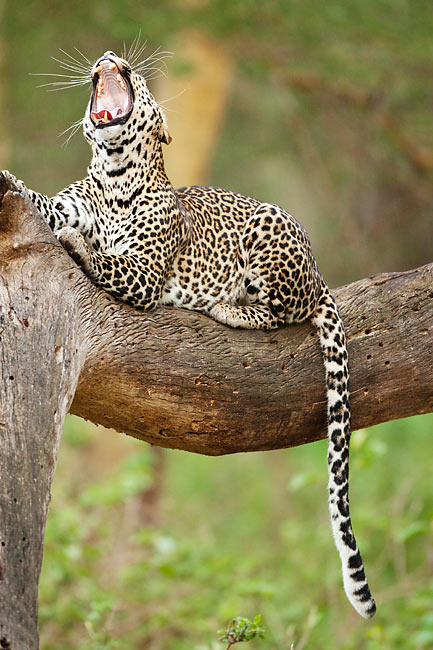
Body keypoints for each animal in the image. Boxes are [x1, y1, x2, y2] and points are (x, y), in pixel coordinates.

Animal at [3, 49, 376, 618]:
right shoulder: (60, 204)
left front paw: (80, 243)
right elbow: (39, 202)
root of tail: (319, 271)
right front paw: (6, 176)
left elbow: (106, 259)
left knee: (287, 310)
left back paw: (230, 307)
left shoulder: (143, 276)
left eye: (136, 74)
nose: (110, 55)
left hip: (273, 240)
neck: (113, 176)